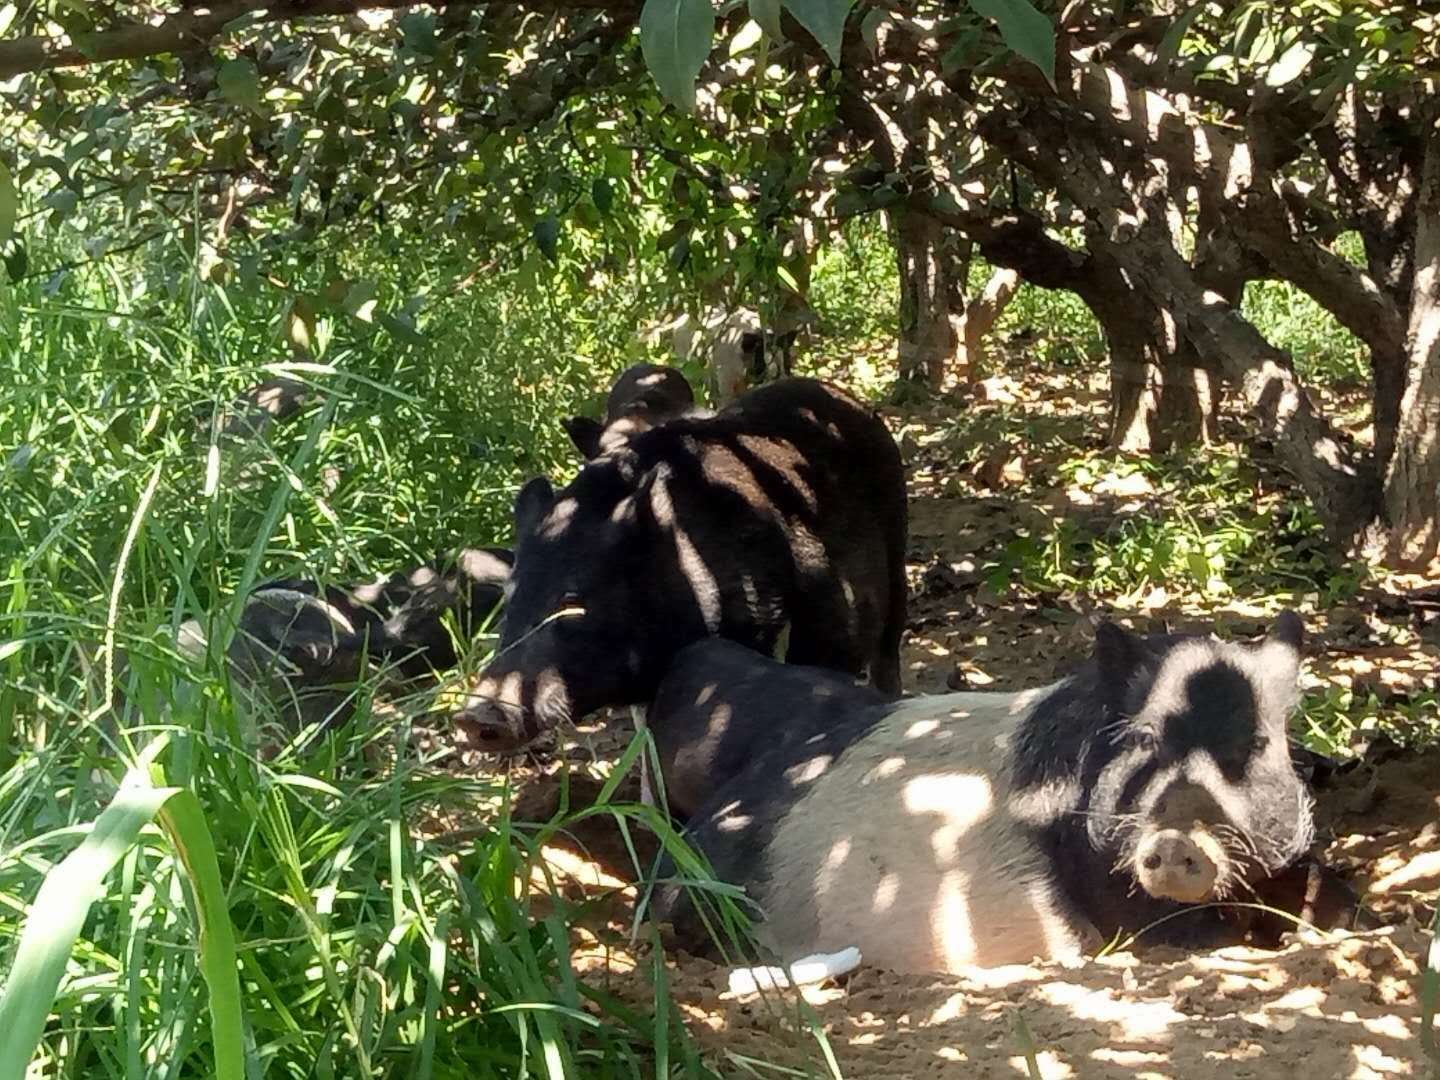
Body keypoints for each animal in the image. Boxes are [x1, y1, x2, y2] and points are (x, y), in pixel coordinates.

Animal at [656, 616, 1370, 979]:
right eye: (1146, 740)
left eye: (1255, 744)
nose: (1175, 840)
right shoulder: (1107, 885)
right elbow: (1185, 933)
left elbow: (1320, 887)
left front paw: (1355, 918)